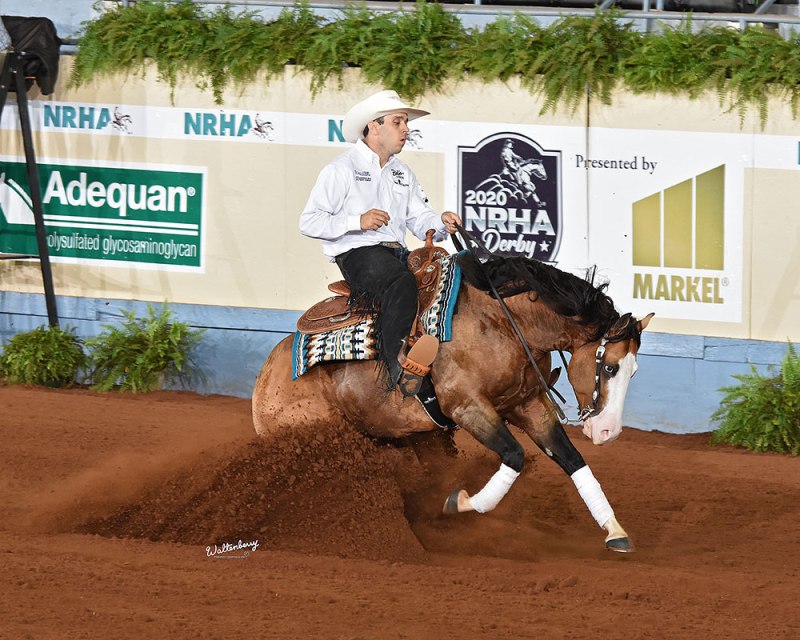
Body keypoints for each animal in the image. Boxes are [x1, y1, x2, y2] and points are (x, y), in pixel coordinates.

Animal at [253, 249, 652, 552]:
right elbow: (514, 456)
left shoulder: (529, 405)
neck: (502, 322)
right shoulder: (468, 407)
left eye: (634, 371)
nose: (608, 432)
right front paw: (459, 502)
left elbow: (573, 461)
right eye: (611, 367)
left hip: (416, 437)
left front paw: (615, 531)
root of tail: (265, 378)